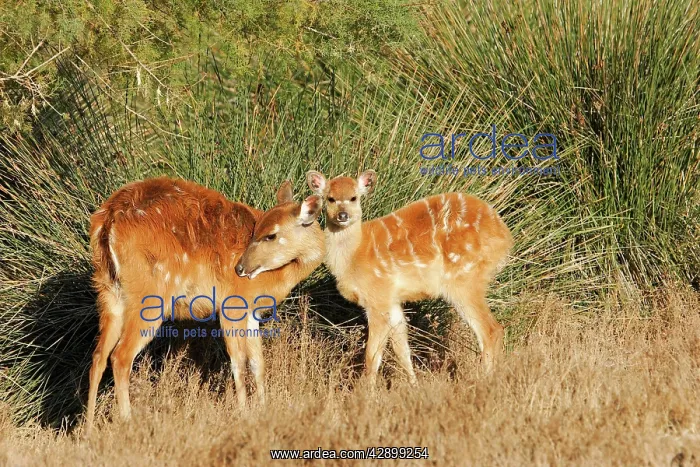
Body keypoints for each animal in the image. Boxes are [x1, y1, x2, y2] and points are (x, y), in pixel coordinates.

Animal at [85, 176, 324, 436]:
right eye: (259, 230)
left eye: (270, 235)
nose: (240, 268)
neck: (275, 277)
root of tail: (108, 221)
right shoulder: (232, 304)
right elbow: (239, 362)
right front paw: (244, 415)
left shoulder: (252, 312)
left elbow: (258, 363)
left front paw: (263, 410)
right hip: (149, 296)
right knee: (120, 356)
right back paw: (128, 424)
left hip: (109, 292)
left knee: (98, 356)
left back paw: (87, 429)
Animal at [306, 170, 513, 385]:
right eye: (330, 198)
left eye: (354, 197)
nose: (343, 215)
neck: (354, 256)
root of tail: (505, 237)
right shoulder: (393, 302)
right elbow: (402, 350)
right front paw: (414, 385)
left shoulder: (378, 298)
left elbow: (372, 356)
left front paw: (367, 391)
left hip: (464, 280)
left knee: (491, 330)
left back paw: (485, 381)